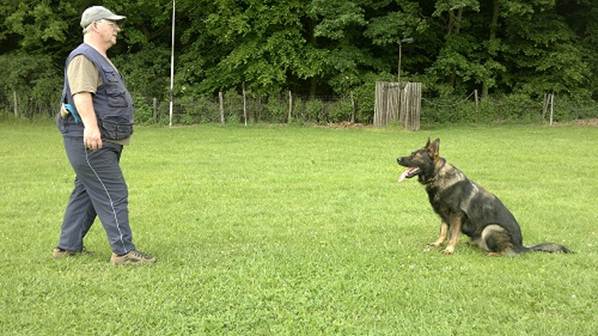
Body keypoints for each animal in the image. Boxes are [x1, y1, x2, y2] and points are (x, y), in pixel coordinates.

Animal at [398, 138, 572, 256]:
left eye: (415, 155)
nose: (397, 158)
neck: (438, 176)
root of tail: (522, 247)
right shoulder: (443, 215)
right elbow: (442, 231)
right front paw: (437, 244)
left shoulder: (457, 215)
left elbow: (453, 235)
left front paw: (449, 249)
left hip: (490, 228)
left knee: (507, 252)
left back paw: (492, 253)